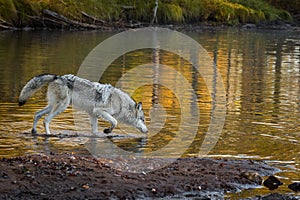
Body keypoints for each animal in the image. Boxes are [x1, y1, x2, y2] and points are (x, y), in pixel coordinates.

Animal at [18, 74, 148, 135]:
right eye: (143, 120)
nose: (147, 131)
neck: (122, 104)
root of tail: (58, 77)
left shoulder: (93, 114)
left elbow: (95, 131)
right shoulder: (99, 111)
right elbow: (114, 122)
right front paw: (107, 130)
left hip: (52, 106)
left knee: (37, 114)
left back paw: (34, 131)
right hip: (61, 107)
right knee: (46, 119)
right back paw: (49, 135)